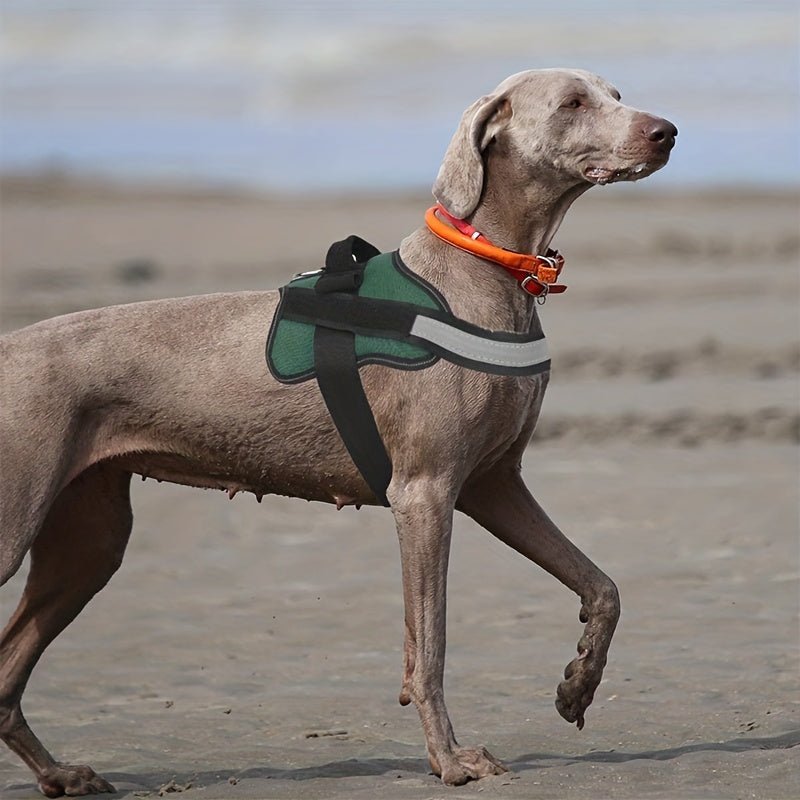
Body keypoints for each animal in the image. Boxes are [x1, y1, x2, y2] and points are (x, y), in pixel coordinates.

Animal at [0, 70, 676, 792]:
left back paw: (61, 773)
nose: (666, 132)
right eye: (573, 102)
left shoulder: (493, 484)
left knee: (8, 674)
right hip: (19, 520)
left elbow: (602, 587)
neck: (484, 270)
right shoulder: (424, 493)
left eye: (616, 94)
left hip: (89, 541)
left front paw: (579, 682)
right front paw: (451, 761)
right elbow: (430, 645)